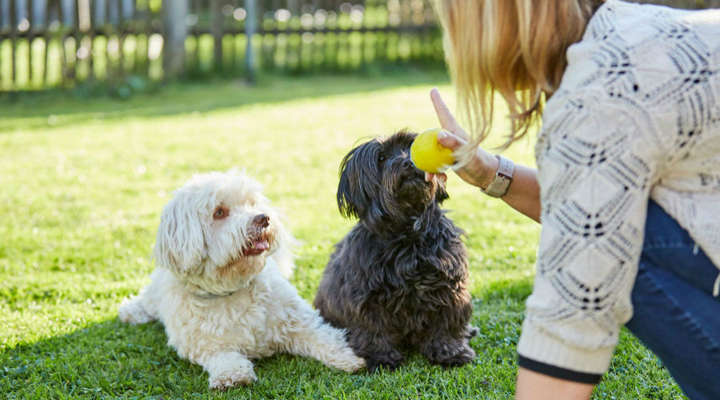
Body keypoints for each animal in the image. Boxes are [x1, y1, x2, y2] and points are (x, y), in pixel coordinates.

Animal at [120, 171, 366, 388]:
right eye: (219, 212)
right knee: (148, 300)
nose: (263, 218)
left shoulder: (297, 320)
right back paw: (131, 311)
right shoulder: (203, 344)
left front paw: (348, 358)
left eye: (251, 203)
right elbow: (223, 356)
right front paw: (233, 375)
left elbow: (323, 336)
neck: (232, 287)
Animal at [312, 131, 476, 372]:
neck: (407, 235)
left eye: (409, 147)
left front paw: (450, 351)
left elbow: (445, 322)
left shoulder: (447, 286)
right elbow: (373, 329)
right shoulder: (367, 297)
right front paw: (381, 357)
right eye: (381, 158)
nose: (409, 163)